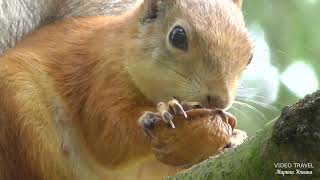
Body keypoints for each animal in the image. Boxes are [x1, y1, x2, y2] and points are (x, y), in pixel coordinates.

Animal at [0, 0, 252, 179]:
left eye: (250, 56)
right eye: (177, 36)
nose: (219, 100)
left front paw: (234, 137)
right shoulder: (103, 75)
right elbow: (107, 135)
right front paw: (160, 114)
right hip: (22, 115)